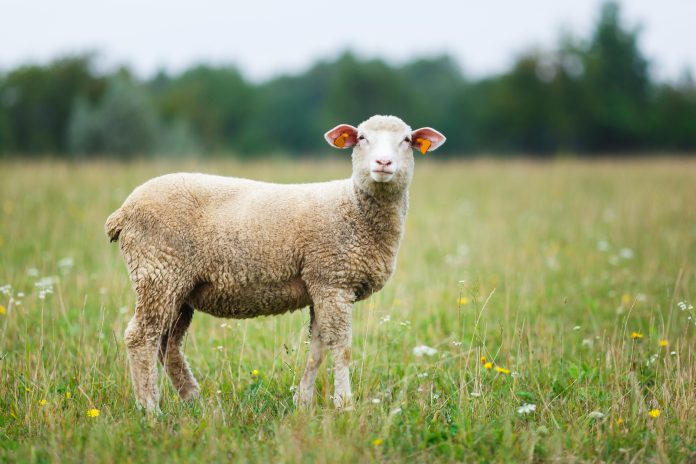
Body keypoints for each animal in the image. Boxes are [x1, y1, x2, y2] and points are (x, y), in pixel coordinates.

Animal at [105, 115, 446, 411]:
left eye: (406, 140)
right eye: (362, 138)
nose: (383, 164)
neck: (353, 206)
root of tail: (123, 212)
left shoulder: (318, 284)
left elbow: (317, 348)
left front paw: (303, 401)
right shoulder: (333, 280)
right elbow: (342, 347)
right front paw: (344, 403)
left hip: (180, 288)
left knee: (168, 346)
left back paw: (194, 401)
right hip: (158, 272)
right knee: (141, 338)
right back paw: (150, 409)